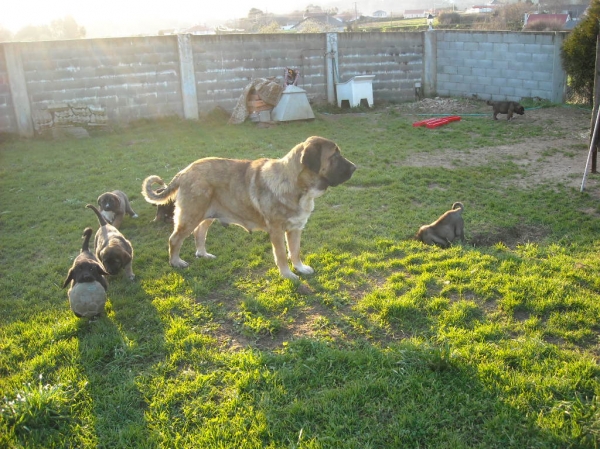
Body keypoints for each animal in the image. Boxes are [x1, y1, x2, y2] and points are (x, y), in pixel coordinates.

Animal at [141, 135, 356, 278]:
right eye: (335, 155)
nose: (355, 167)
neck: (296, 184)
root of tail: (184, 172)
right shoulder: (277, 231)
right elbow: (281, 255)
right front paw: (288, 275)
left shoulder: (295, 229)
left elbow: (295, 251)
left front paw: (300, 268)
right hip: (191, 215)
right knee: (175, 239)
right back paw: (176, 262)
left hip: (207, 214)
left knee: (199, 233)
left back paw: (203, 254)